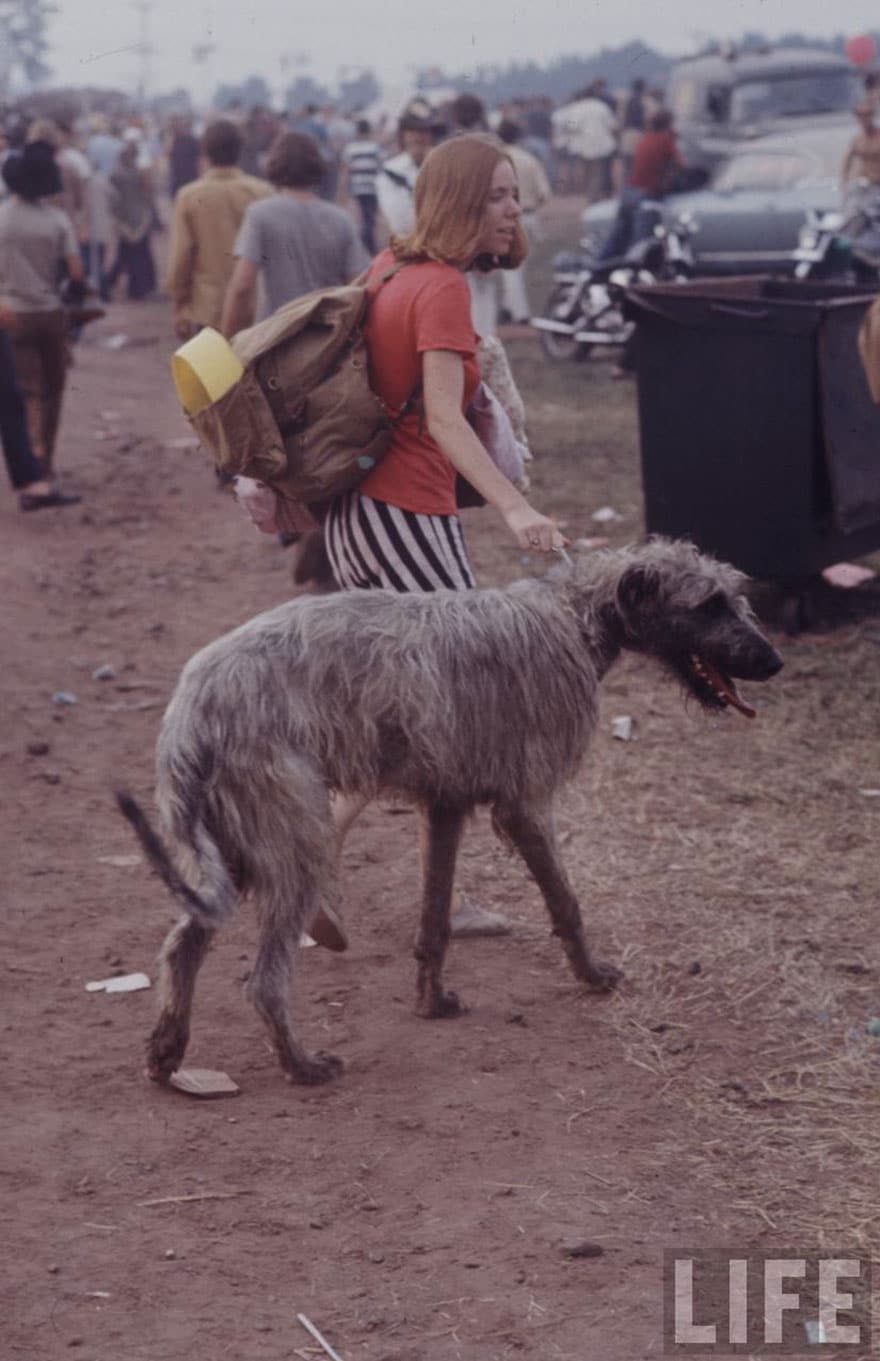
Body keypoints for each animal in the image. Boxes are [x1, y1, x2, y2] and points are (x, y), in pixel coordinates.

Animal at [119, 536, 783, 1088]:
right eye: (709, 603)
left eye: (735, 596)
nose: (774, 662)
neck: (573, 617)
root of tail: (188, 709)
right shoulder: (524, 804)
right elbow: (566, 901)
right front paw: (592, 975)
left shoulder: (445, 806)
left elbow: (434, 920)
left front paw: (431, 1001)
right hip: (292, 837)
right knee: (264, 980)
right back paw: (301, 1065)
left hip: (233, 849)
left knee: (182, 946)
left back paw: (167, 1052)